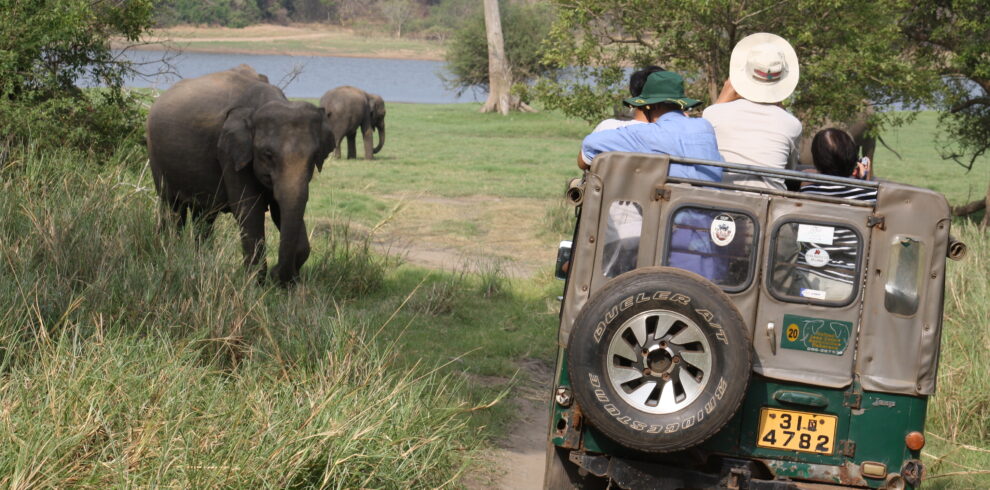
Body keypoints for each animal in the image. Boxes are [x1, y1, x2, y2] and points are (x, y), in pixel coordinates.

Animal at [145, 65, 336, 288]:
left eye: (314, 156)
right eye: (267, 155)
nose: (276, 273)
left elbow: (280, 210)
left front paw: (287, 284)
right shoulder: (230, 153)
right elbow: (249, 209)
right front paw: (255, 285)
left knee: (205, 215)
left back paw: (201, 260)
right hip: (156, 155)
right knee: (172, 207)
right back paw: (170, 254)